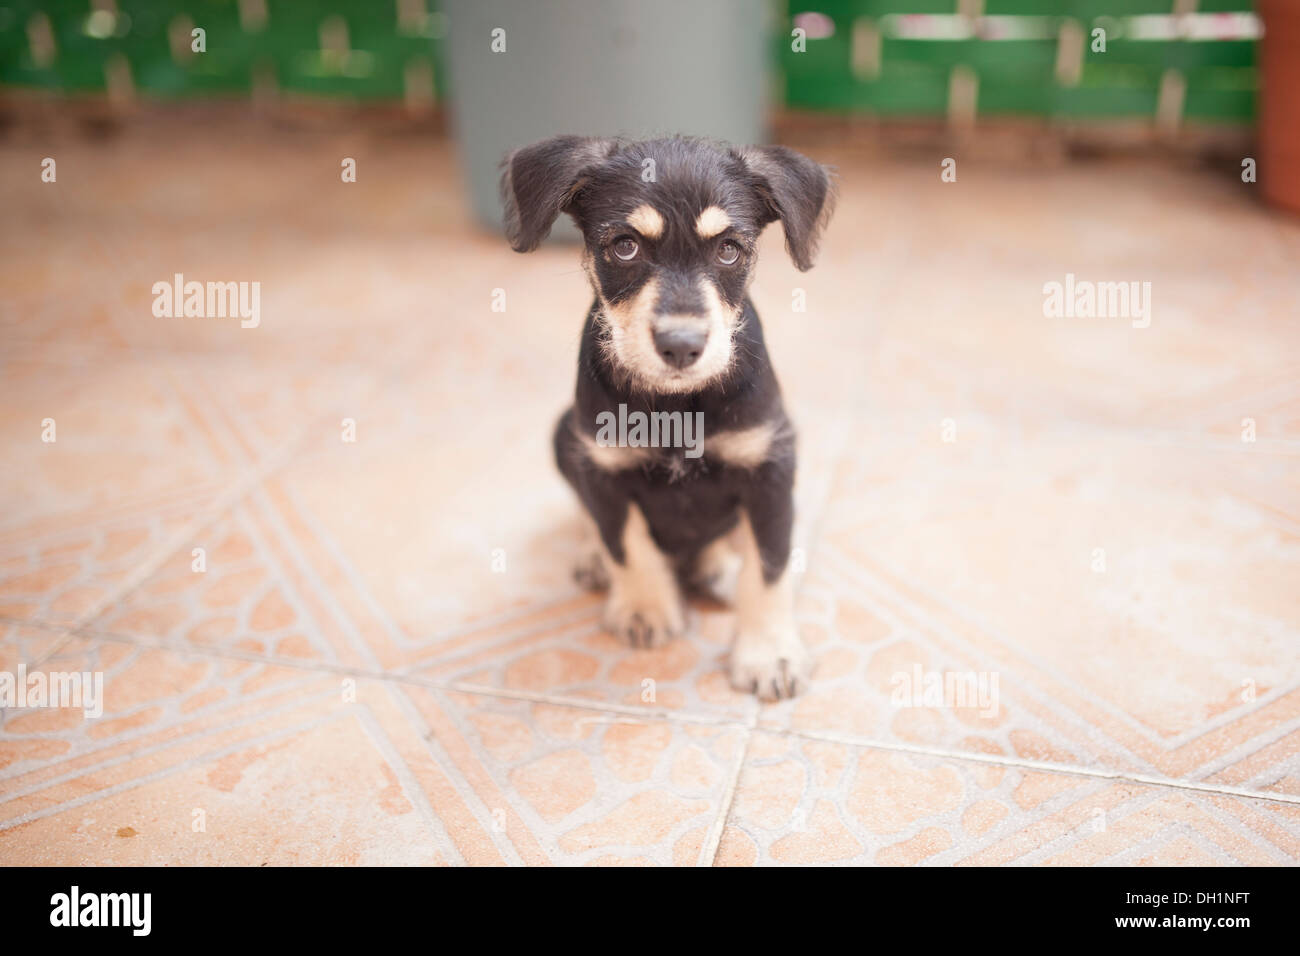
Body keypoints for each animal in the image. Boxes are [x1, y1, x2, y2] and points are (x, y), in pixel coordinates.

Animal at [496, 134, 832, 697]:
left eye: (728, 249)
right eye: (625, 246)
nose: (681, 345)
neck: (678, 406)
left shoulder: (768, 468)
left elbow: (768, 568)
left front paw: (769, 654)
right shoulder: (605, 468)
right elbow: (626, 543)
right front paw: (644, 608)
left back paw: (719, 565)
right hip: (564, 435)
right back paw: (594, 559)